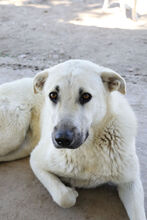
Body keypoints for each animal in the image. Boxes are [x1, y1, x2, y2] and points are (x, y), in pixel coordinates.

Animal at [0, 59, 145, 219]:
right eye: (53, 95)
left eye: (86, 96)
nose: (62, 139)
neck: (88, 149)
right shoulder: (37, 160)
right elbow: (65, 198)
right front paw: (70, 191)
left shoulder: (130, 181)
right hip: (14, 132)